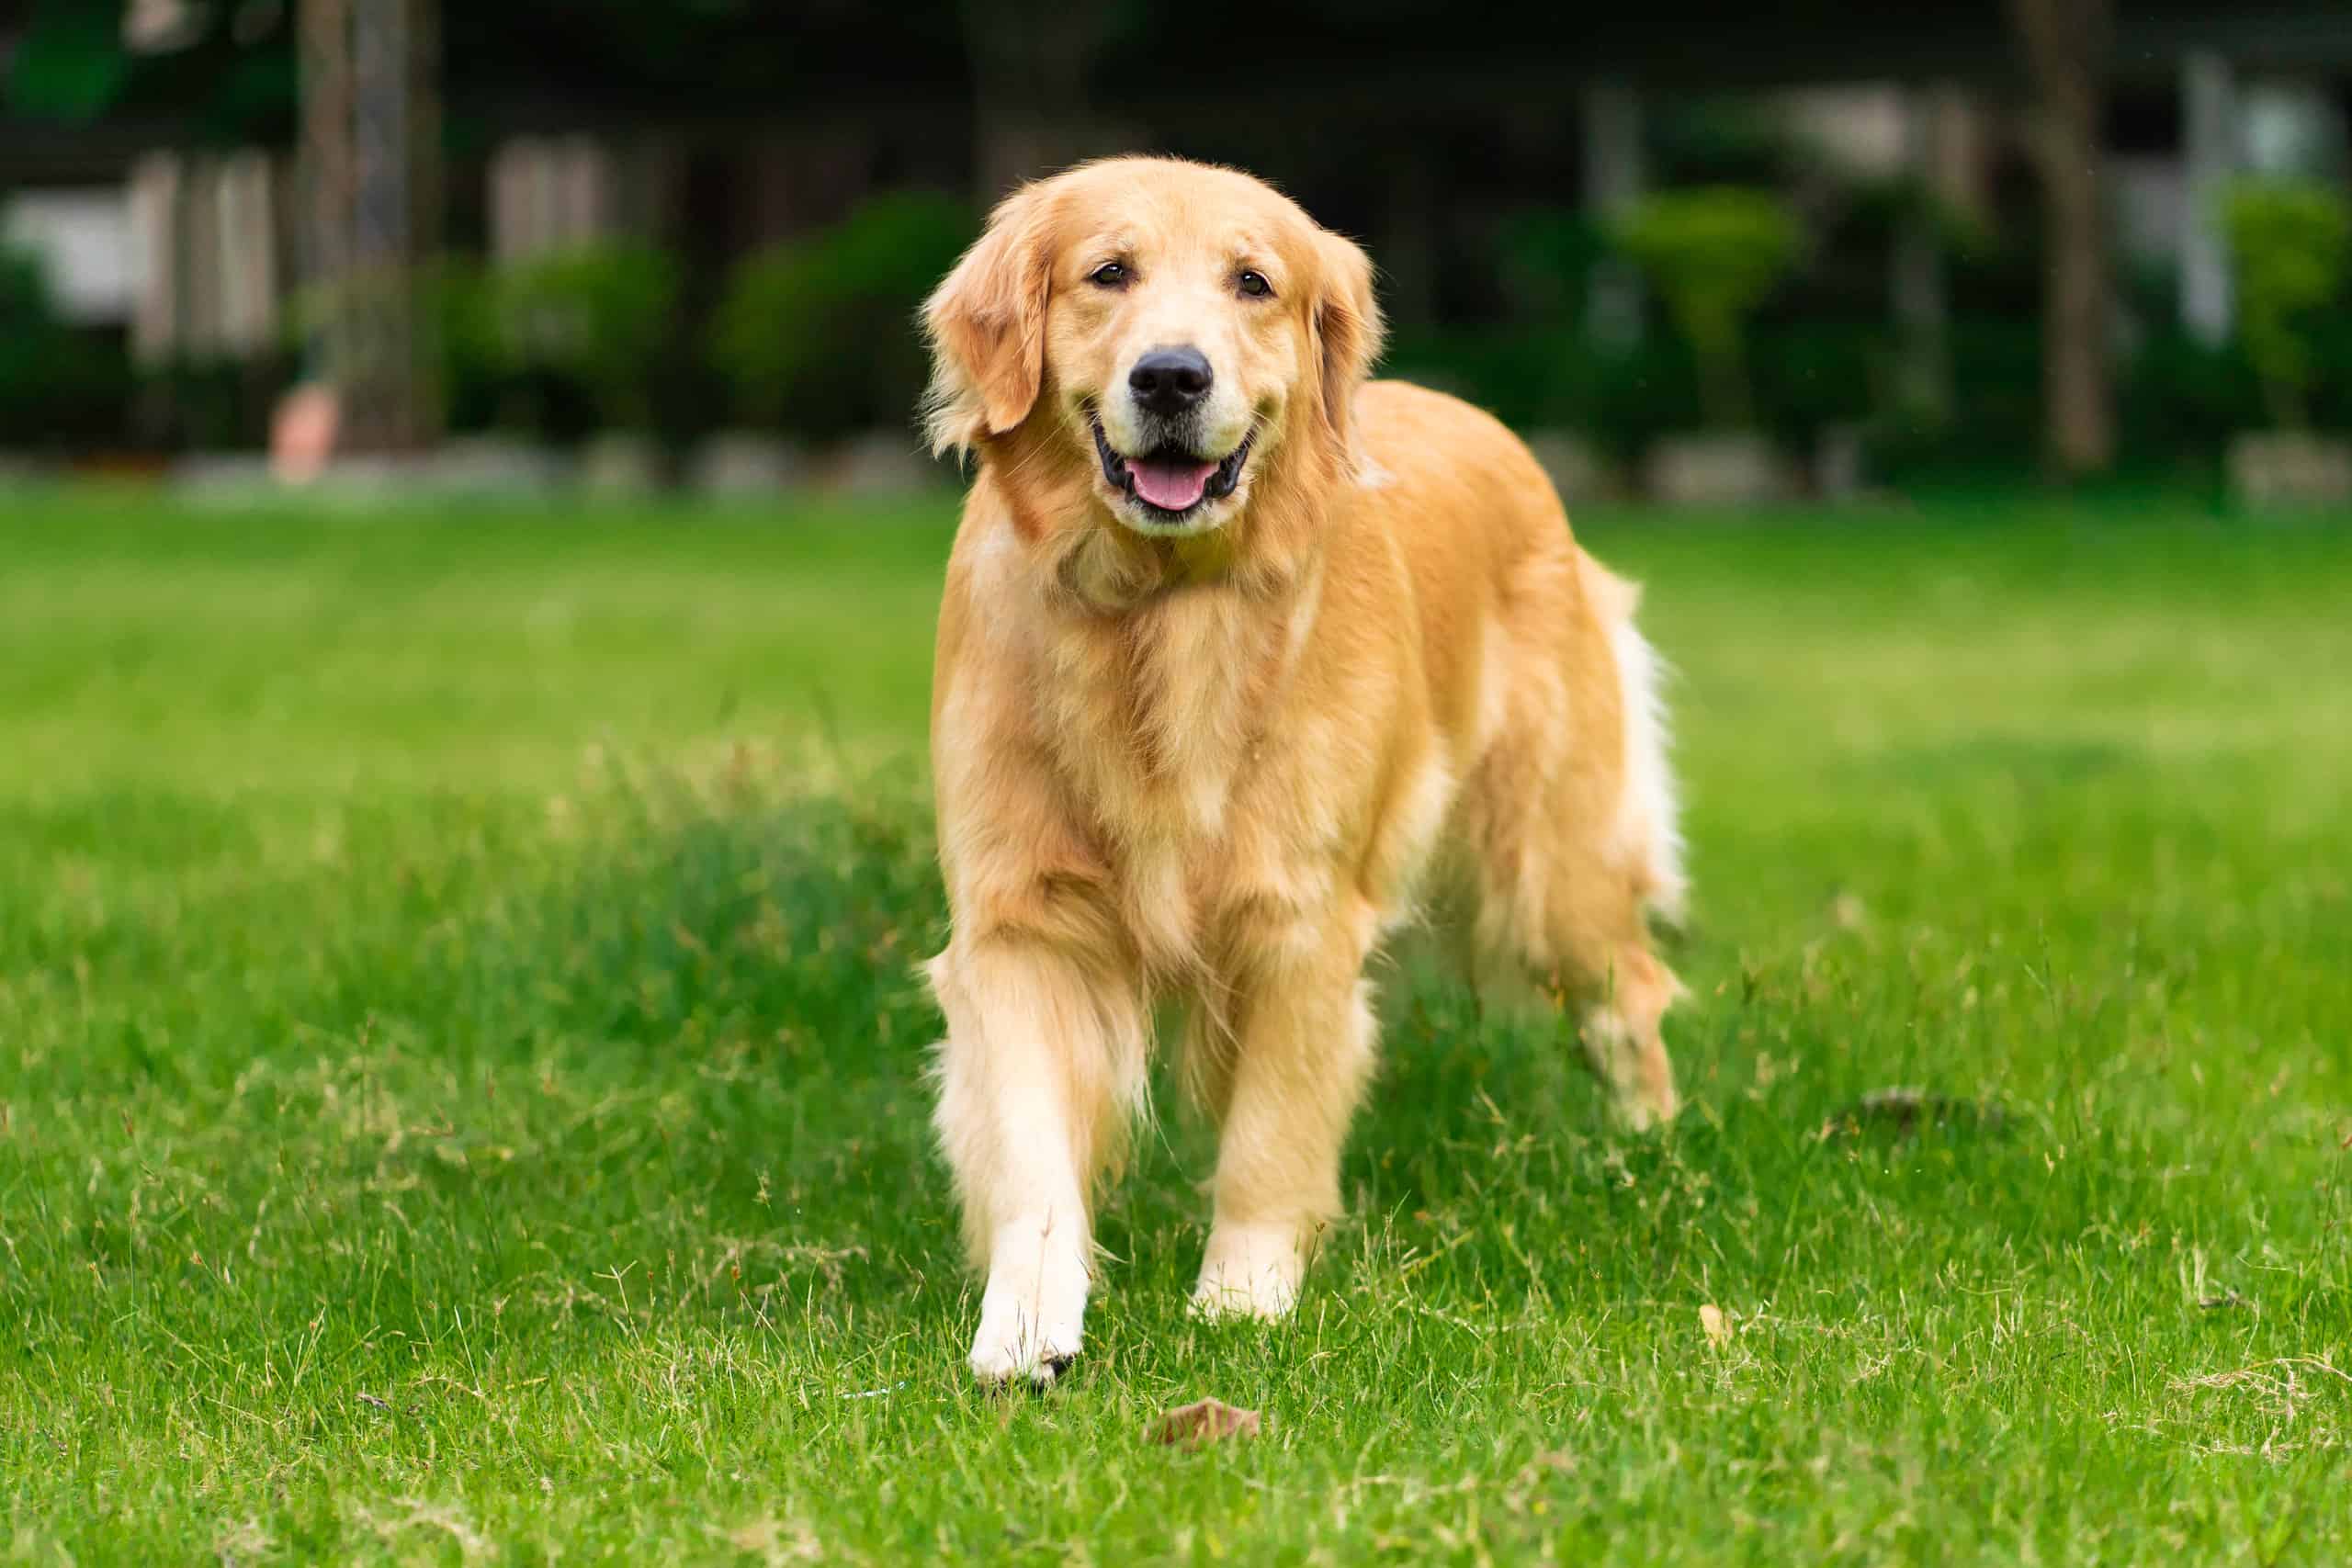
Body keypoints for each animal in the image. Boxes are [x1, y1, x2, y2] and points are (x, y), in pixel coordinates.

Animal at [922, 156, 1693, 1382]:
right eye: (1107, 272)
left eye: (1253, 282)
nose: (1172, 376)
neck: (1161, 612)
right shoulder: (1020, 921)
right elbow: (1031, 1148)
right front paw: (1027, 1324)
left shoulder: (1298, 921)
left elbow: (1269, 1138)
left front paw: (1240, 1301)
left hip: (1548, 866)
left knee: (1628, 995)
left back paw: (1645, 1156)